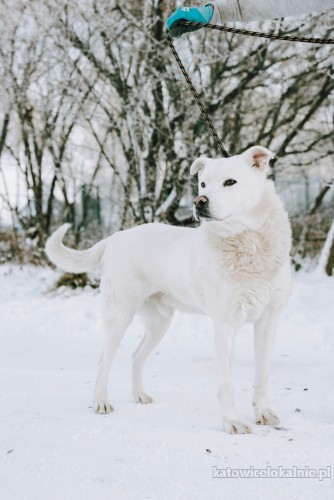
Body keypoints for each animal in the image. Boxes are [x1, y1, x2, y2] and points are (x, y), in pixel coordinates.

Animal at [45, 146, 290, 434]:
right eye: (203, 183)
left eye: (230, 182)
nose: (199, 201)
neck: (249, 241)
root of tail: (115, 237)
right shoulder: (225, 327)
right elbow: (227, 383)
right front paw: (232, 421)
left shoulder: (267, 323)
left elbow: (263, 376)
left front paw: (262, 413)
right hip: (119, 315)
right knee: (103, 360)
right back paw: (101, 402)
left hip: (159, 323)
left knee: (136, 356)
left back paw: (139, 395)